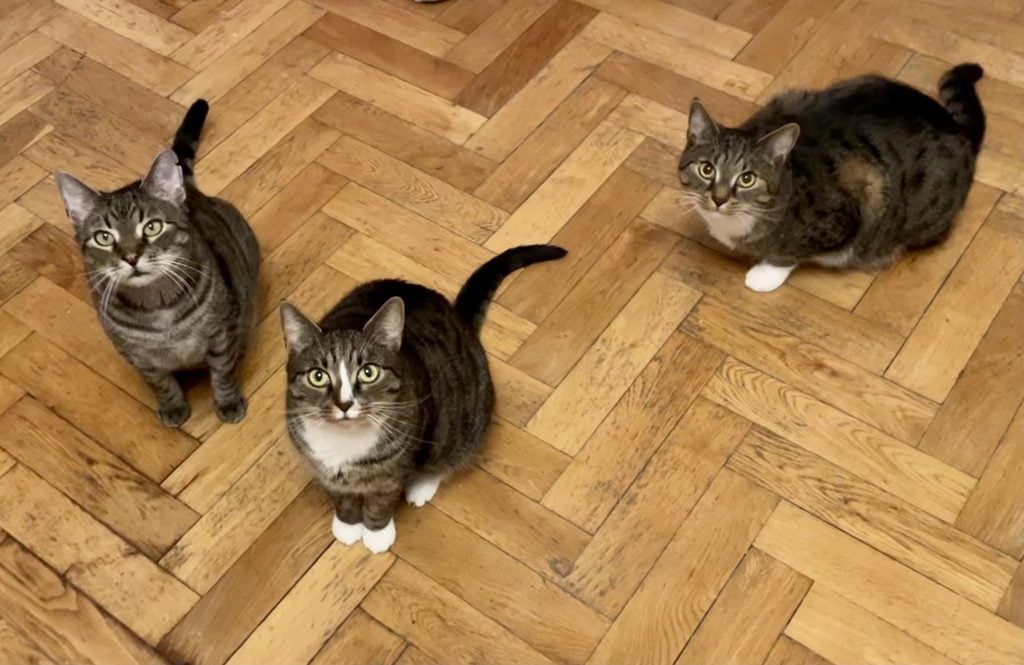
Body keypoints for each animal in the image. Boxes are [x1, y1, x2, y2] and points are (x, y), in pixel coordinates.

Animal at [54, 101, 262, 428]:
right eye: (103, 237)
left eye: (152, 227)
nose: (130, 256)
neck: (159, 309)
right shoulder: (138, 356)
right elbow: (161, 384)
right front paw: (173, 407)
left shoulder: (221, 333)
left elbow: (223, 374)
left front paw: (228, 402)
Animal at [280, 245, 569, 553]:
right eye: (318, 376)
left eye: (369, 372)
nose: (344, 404)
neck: (344, 443)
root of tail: (458, 319)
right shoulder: (321, 466)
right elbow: (342, 497)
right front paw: (347, 525)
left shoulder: (393, 471)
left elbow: (380, 502)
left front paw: (376, 533)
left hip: (461, 422)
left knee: (450, 455)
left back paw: (421, 485)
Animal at [679, 64, 983, 291]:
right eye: (707, 169)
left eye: (747, 179)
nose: (718, 199)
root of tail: (955, 126)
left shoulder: (854, 204)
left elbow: (790, 251)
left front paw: (764, 275)